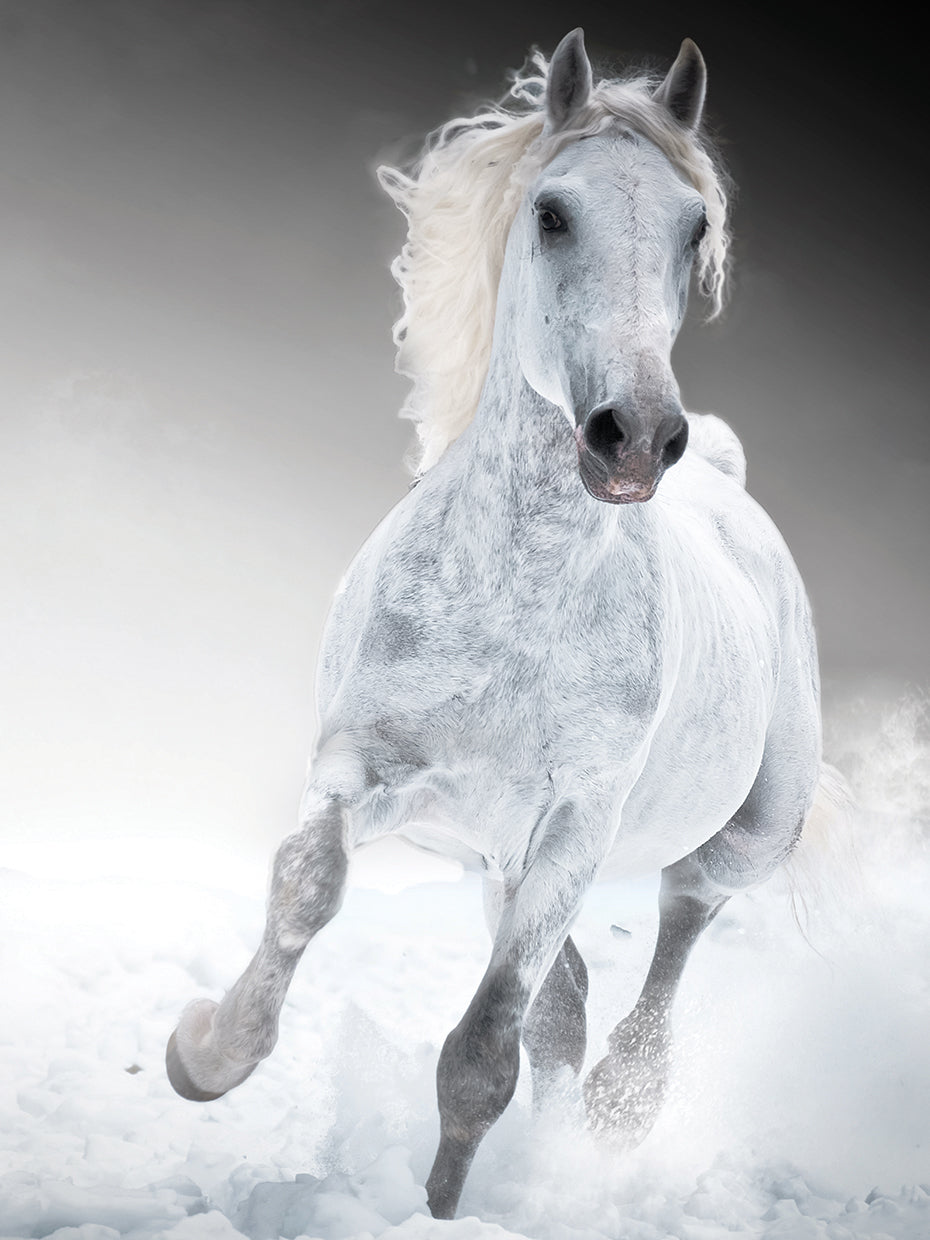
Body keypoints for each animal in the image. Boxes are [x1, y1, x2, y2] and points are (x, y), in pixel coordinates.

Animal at [166, 29, 823, 1220]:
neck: (513, 601)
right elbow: (306, 885)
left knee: (680, 921)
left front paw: (435, 1213)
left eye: (695, 227)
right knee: (568, 999)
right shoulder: (367, 770)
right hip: (492, 861)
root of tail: (726, 477)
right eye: (551, 211)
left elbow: (482, 1048)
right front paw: (205, 1053)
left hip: (742, 836)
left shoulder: (572, 827)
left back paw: (619, 1109)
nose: (634, 435)